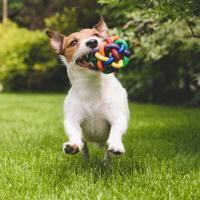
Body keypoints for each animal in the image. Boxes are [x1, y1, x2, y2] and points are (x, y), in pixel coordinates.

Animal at [46, 17, 129, 161]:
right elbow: (74, 132)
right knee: (84, 147)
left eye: (96, 35)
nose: (92, 42)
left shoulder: (118, 115)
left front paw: (116, 144)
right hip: (84, 141)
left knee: (107, 152)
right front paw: (72, 145)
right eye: (73, 42)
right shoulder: (72, 119)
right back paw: (85, 160)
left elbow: (116, 129)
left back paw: (105, 162)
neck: (91, 85)